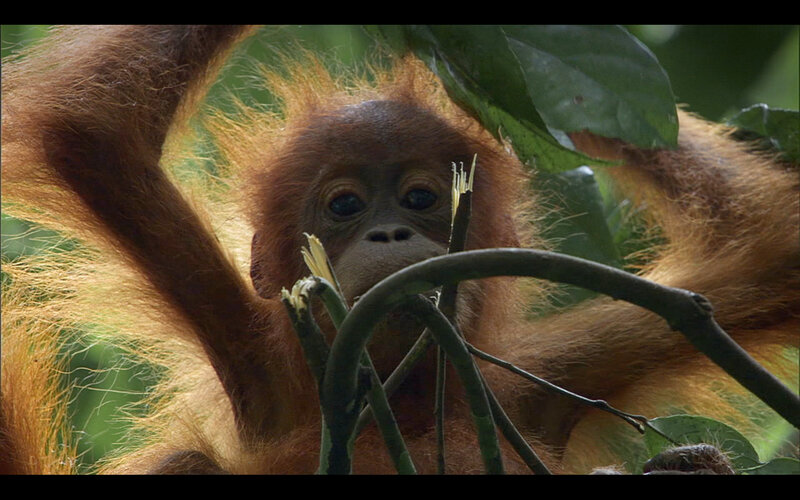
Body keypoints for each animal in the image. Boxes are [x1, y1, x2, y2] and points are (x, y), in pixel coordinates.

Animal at [1, 25, 797, 474]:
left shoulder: (551, 376)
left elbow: (770, 259)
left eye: (419, 198)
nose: (389, 234)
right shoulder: (253, 357)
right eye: (345, 206)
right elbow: (96, 137)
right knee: (189, 462)